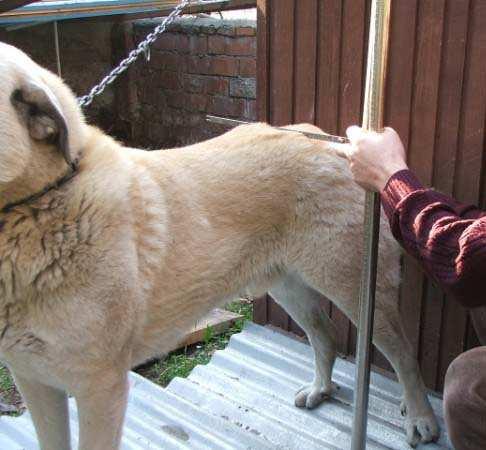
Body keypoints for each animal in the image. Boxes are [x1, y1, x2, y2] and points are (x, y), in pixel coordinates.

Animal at [0, 42, 438, 450]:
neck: (42, 203)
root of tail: (333, 144)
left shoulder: (99, 388)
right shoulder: (33, 379)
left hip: (357, 291)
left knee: (404, 354)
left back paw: (422, 418)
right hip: (287, 286)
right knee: (326, 336)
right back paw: (321, 389)